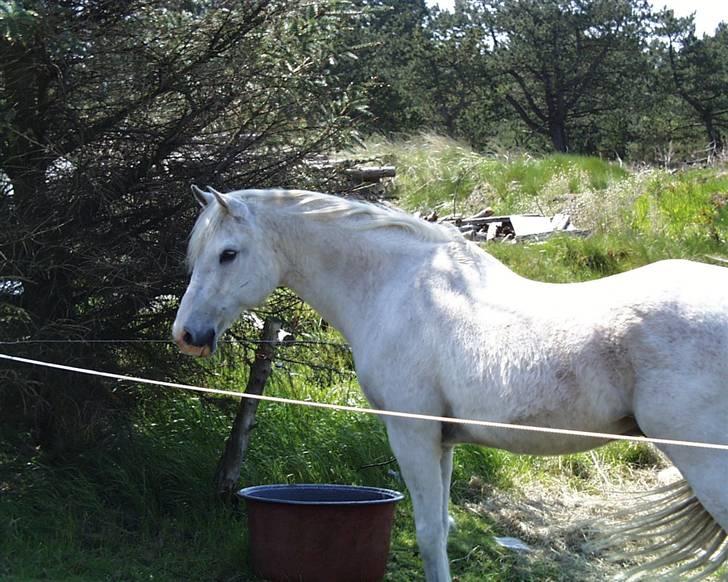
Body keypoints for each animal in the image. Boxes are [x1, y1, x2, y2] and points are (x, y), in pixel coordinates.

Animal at [173, 188, 724, 582]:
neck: (396, 288)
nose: (187, 335)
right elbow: (441, 527)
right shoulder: (442, 442)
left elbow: (428, 533)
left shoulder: (411, 435)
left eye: (228, 254)